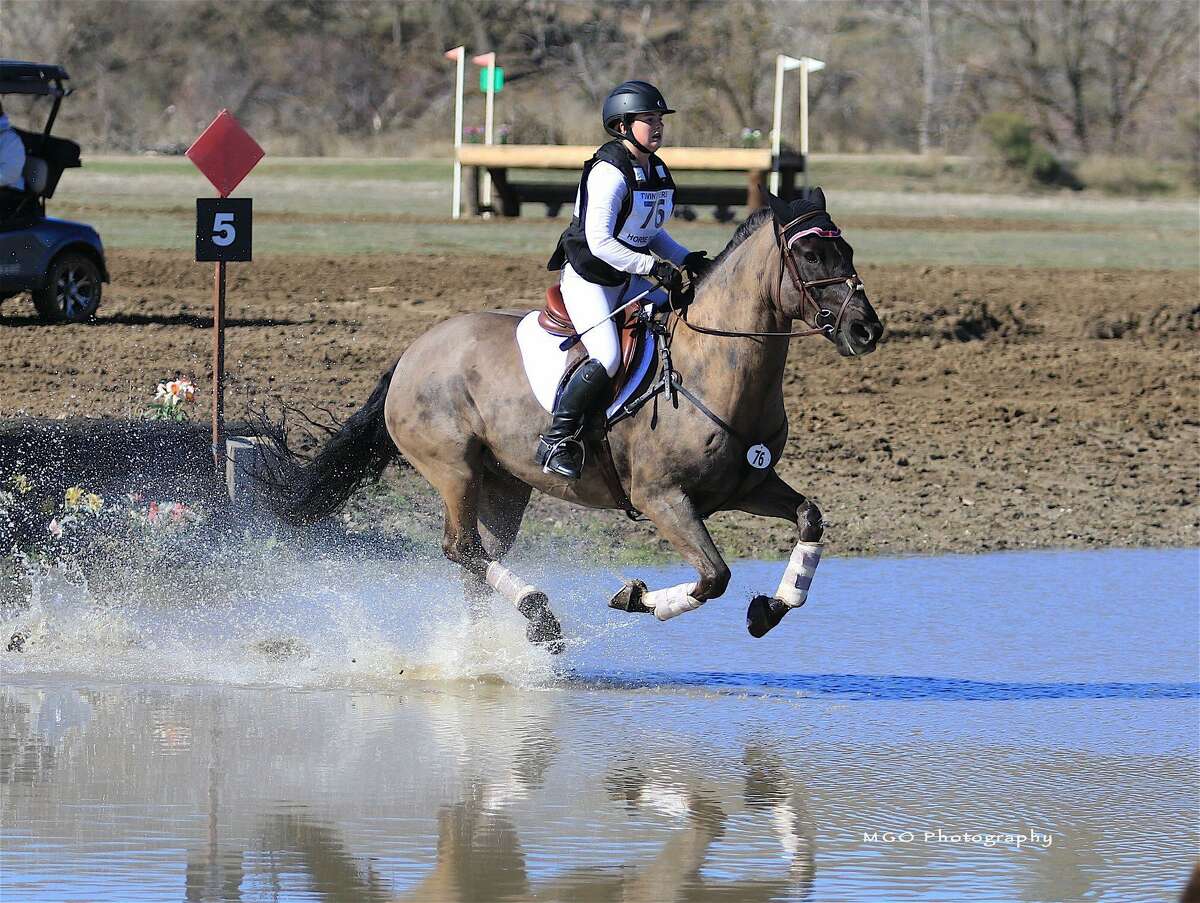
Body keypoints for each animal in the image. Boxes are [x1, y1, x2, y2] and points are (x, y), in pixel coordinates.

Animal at [267, 188, 883, 653]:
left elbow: (808, 518)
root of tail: (413, 352)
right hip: (454, 470)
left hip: (504, 485)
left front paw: (771, 609)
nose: (866, 330)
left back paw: (482, 653)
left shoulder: (746, 485)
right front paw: (635, 598)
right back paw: (538, 617)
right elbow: (714, 576)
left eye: (848, 250)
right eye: (811, 258)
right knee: (460, 550)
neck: (714, 368)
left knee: (477, 561)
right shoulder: (663, 498)